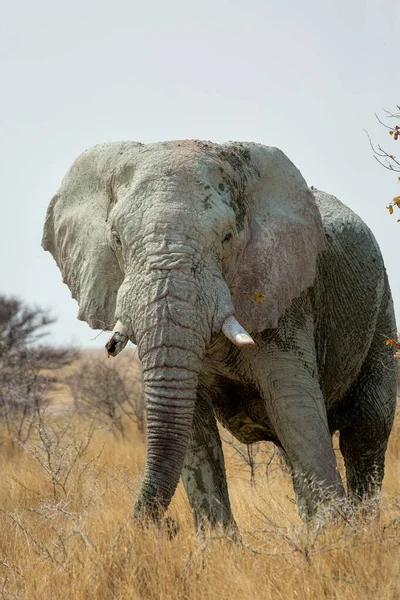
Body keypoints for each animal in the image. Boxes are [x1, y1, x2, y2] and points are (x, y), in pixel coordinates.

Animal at [42, 141, 398, 536]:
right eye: (116, 240)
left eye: (227, 238)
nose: (165, 527)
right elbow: (195, 433)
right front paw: (219, 543)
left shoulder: (285, 295)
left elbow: (294, 407)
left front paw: (337, 538)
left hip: (381, 309)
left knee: (365, 429)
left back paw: (363, 529)